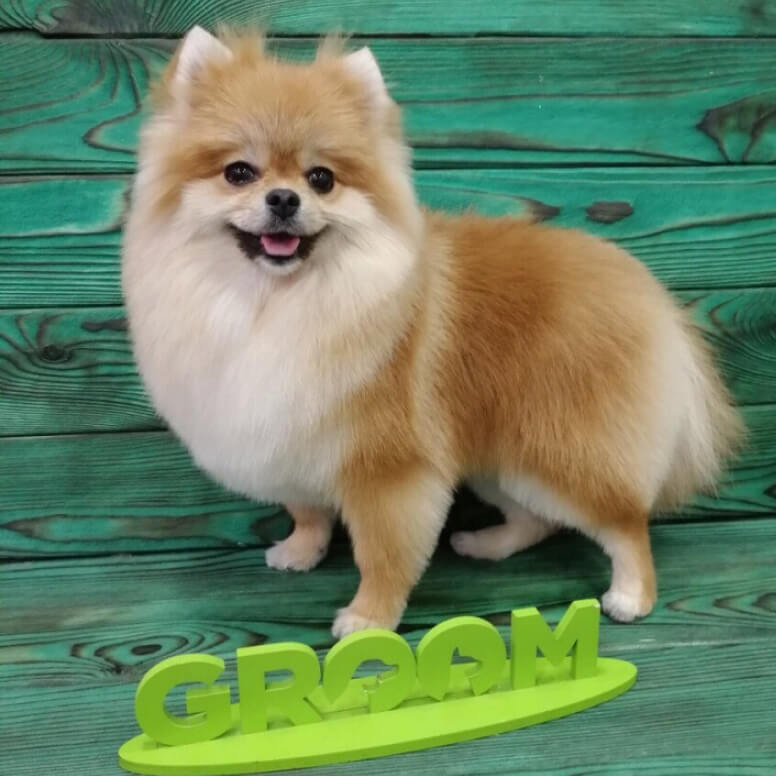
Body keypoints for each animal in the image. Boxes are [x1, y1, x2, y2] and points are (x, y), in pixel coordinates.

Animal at [122, 27, 743, 638]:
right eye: (239, 173)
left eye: (321, 179)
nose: (284, 198)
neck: (275, 303)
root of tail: (652, 297)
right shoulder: (292, 437)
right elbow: (309, 510)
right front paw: (301, 551)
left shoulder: (388, 471)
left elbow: (382, 555)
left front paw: (369, 618)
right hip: (503, 456)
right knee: (536, 520)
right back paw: (486, 544)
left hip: (562, 452)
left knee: (625, 523)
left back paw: (631, 595)